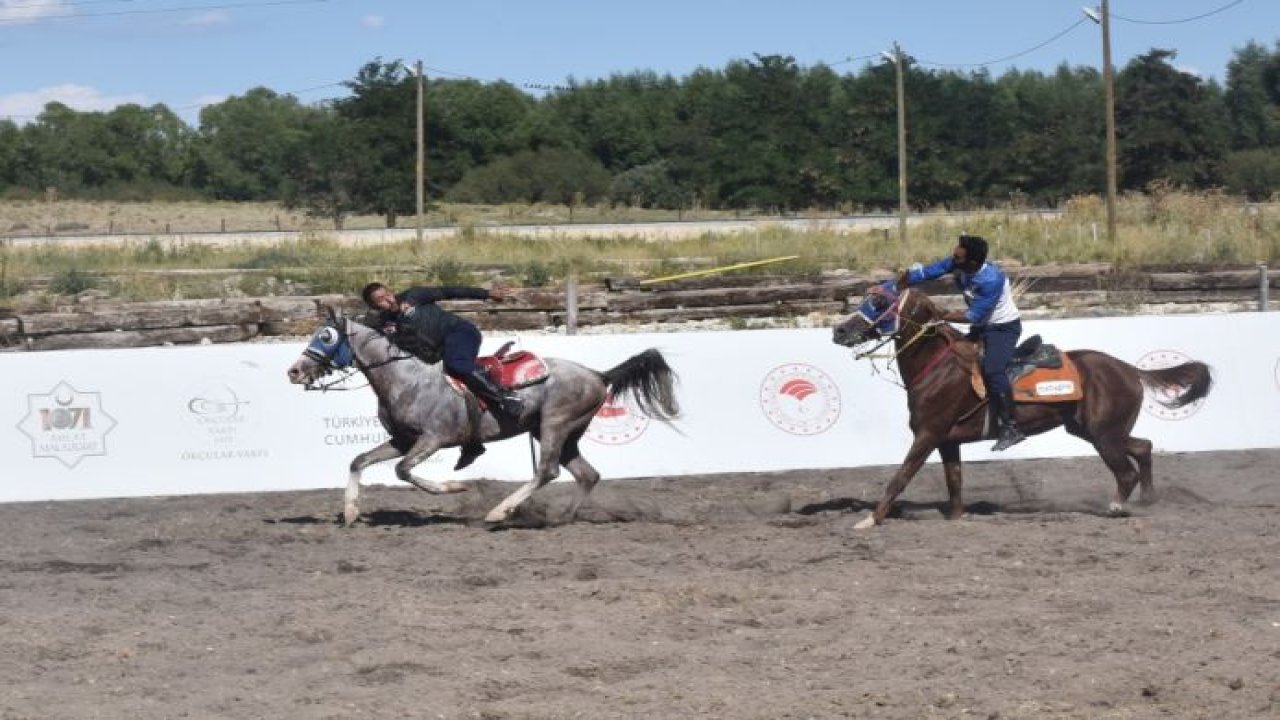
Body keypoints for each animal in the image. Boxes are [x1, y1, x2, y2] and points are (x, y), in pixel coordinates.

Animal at [282, 307, 680, 520]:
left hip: (555, 424)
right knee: (587, 475)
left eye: (326, 337)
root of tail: (599, 374)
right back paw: (562, 517)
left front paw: (454, 486)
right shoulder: (402, 440)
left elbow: (403, 471)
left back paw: (499, 512)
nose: (295, 371)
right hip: (562, 432)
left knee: (547, 471)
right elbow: (359, 461)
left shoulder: (433, 439)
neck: (406, 378)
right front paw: (350, 512)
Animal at [829, 281, 1208, 527]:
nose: (839, 331)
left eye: (879, 304)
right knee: (1144, 446)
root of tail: (1130, 369)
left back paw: (1117, 507)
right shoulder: (948, 441)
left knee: (1126, 470)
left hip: (1103, 434)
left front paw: (871, 519)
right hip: (1091, 430)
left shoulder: (928, 434)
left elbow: (901, 476)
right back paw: (1148, 499)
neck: (938, 365)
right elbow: (954, 481)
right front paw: (957, 517)